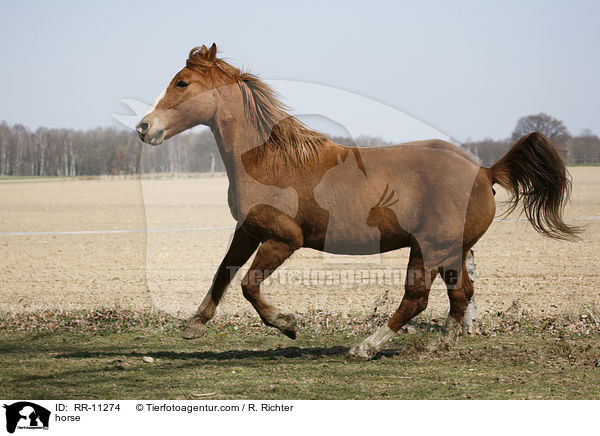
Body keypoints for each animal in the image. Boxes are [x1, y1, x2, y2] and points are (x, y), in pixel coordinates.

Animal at [137, 43, 580, 362]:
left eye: (181, 83)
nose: (144, 128)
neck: (268, 159)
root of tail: (484, 172)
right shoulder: (248, 230)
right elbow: (222, 273)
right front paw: (195, 325)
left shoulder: (284, 239)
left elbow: (248, 285)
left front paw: (288, 324)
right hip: (451, 250)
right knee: (460, 296)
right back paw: (439, 346)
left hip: (429, 248)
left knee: (416, 299)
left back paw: (365, 348)